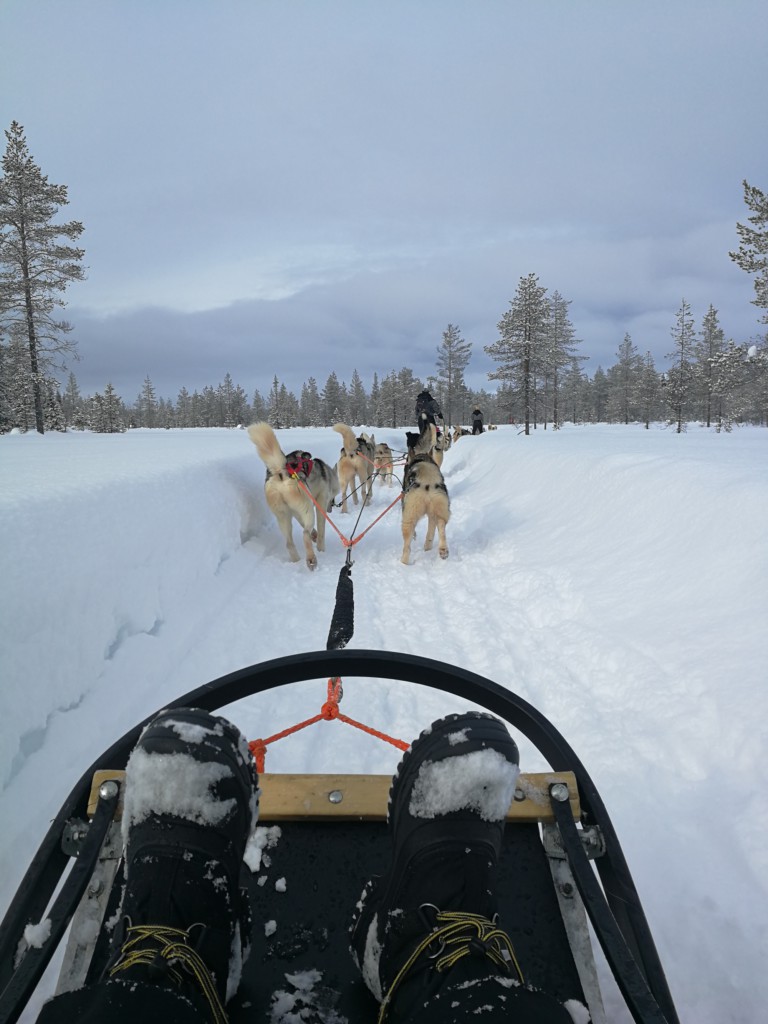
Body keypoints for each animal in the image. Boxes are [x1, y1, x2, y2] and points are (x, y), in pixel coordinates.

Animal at [249, 419, 339, 573]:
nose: (331, 507)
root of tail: (281, 471)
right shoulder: (319, 503)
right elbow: (321, 531)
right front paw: (321, 548)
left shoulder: (297, 512)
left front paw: (315, 536)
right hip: (307, 510)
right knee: (304, 534)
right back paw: (311, 559)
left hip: (283, 516)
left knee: (289, 543)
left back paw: (297, 560)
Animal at [403, 438, 450, 569]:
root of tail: (427, 480)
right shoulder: (432, 513)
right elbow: (431, 530)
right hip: (440, 509)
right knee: (441, 525)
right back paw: (442, 550)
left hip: (409, 516)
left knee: (407, 546)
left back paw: (403, 564)